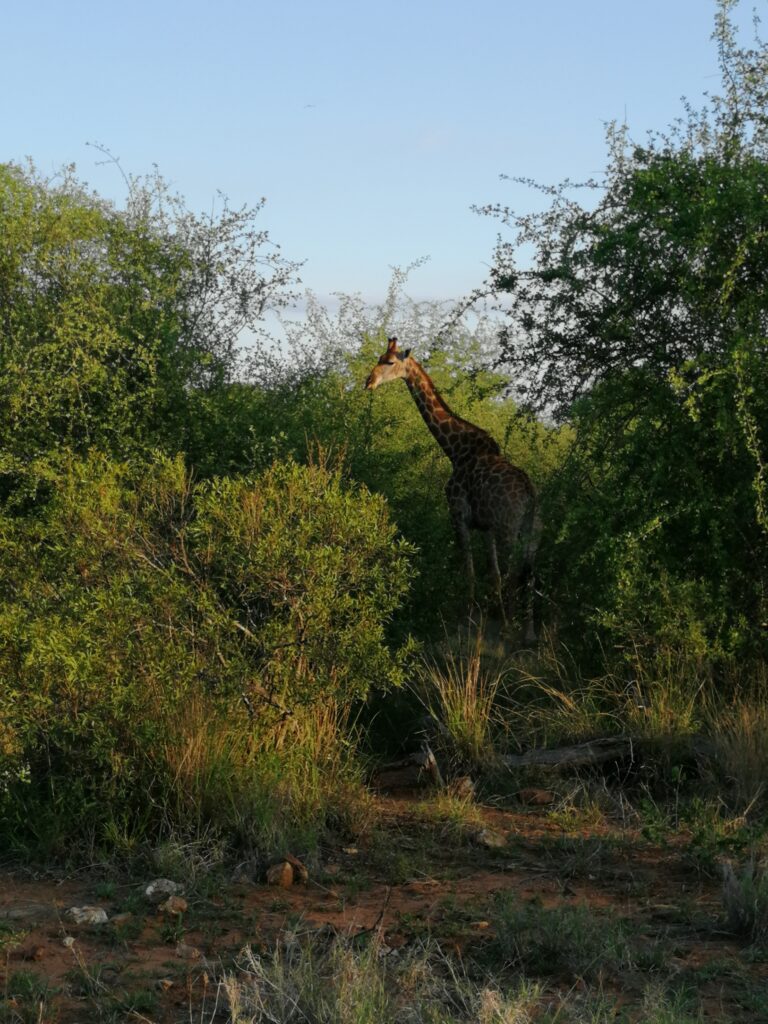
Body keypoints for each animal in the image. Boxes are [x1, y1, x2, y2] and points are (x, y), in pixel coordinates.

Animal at [365, 337, 540, 642]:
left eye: (389, 362)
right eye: (378, 358)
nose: (369, 382)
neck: (455, 451)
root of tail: (529, 494)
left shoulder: (458, 516)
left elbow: (468, 570)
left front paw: (470, 620)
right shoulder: (486, 526)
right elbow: (492, 574)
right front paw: (500, 621)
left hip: (510, 530)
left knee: (516, 573)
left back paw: (516, 631)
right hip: (531, 533)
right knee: (528, 575)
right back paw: (528, 633)